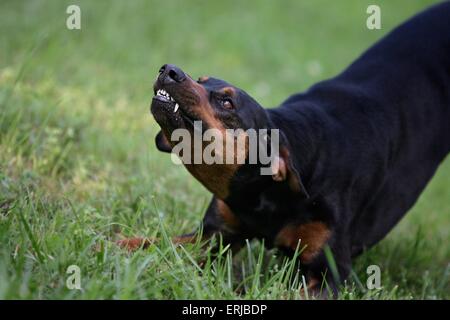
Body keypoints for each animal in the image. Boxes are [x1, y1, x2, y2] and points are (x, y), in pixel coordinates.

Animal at [118, 3, 450, 298]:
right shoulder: (212, 235)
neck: (264, 195)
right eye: (201, 80)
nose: (169, 70)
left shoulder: (329, 274)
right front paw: (114, 244)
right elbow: (153, 243)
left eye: (227, 103)